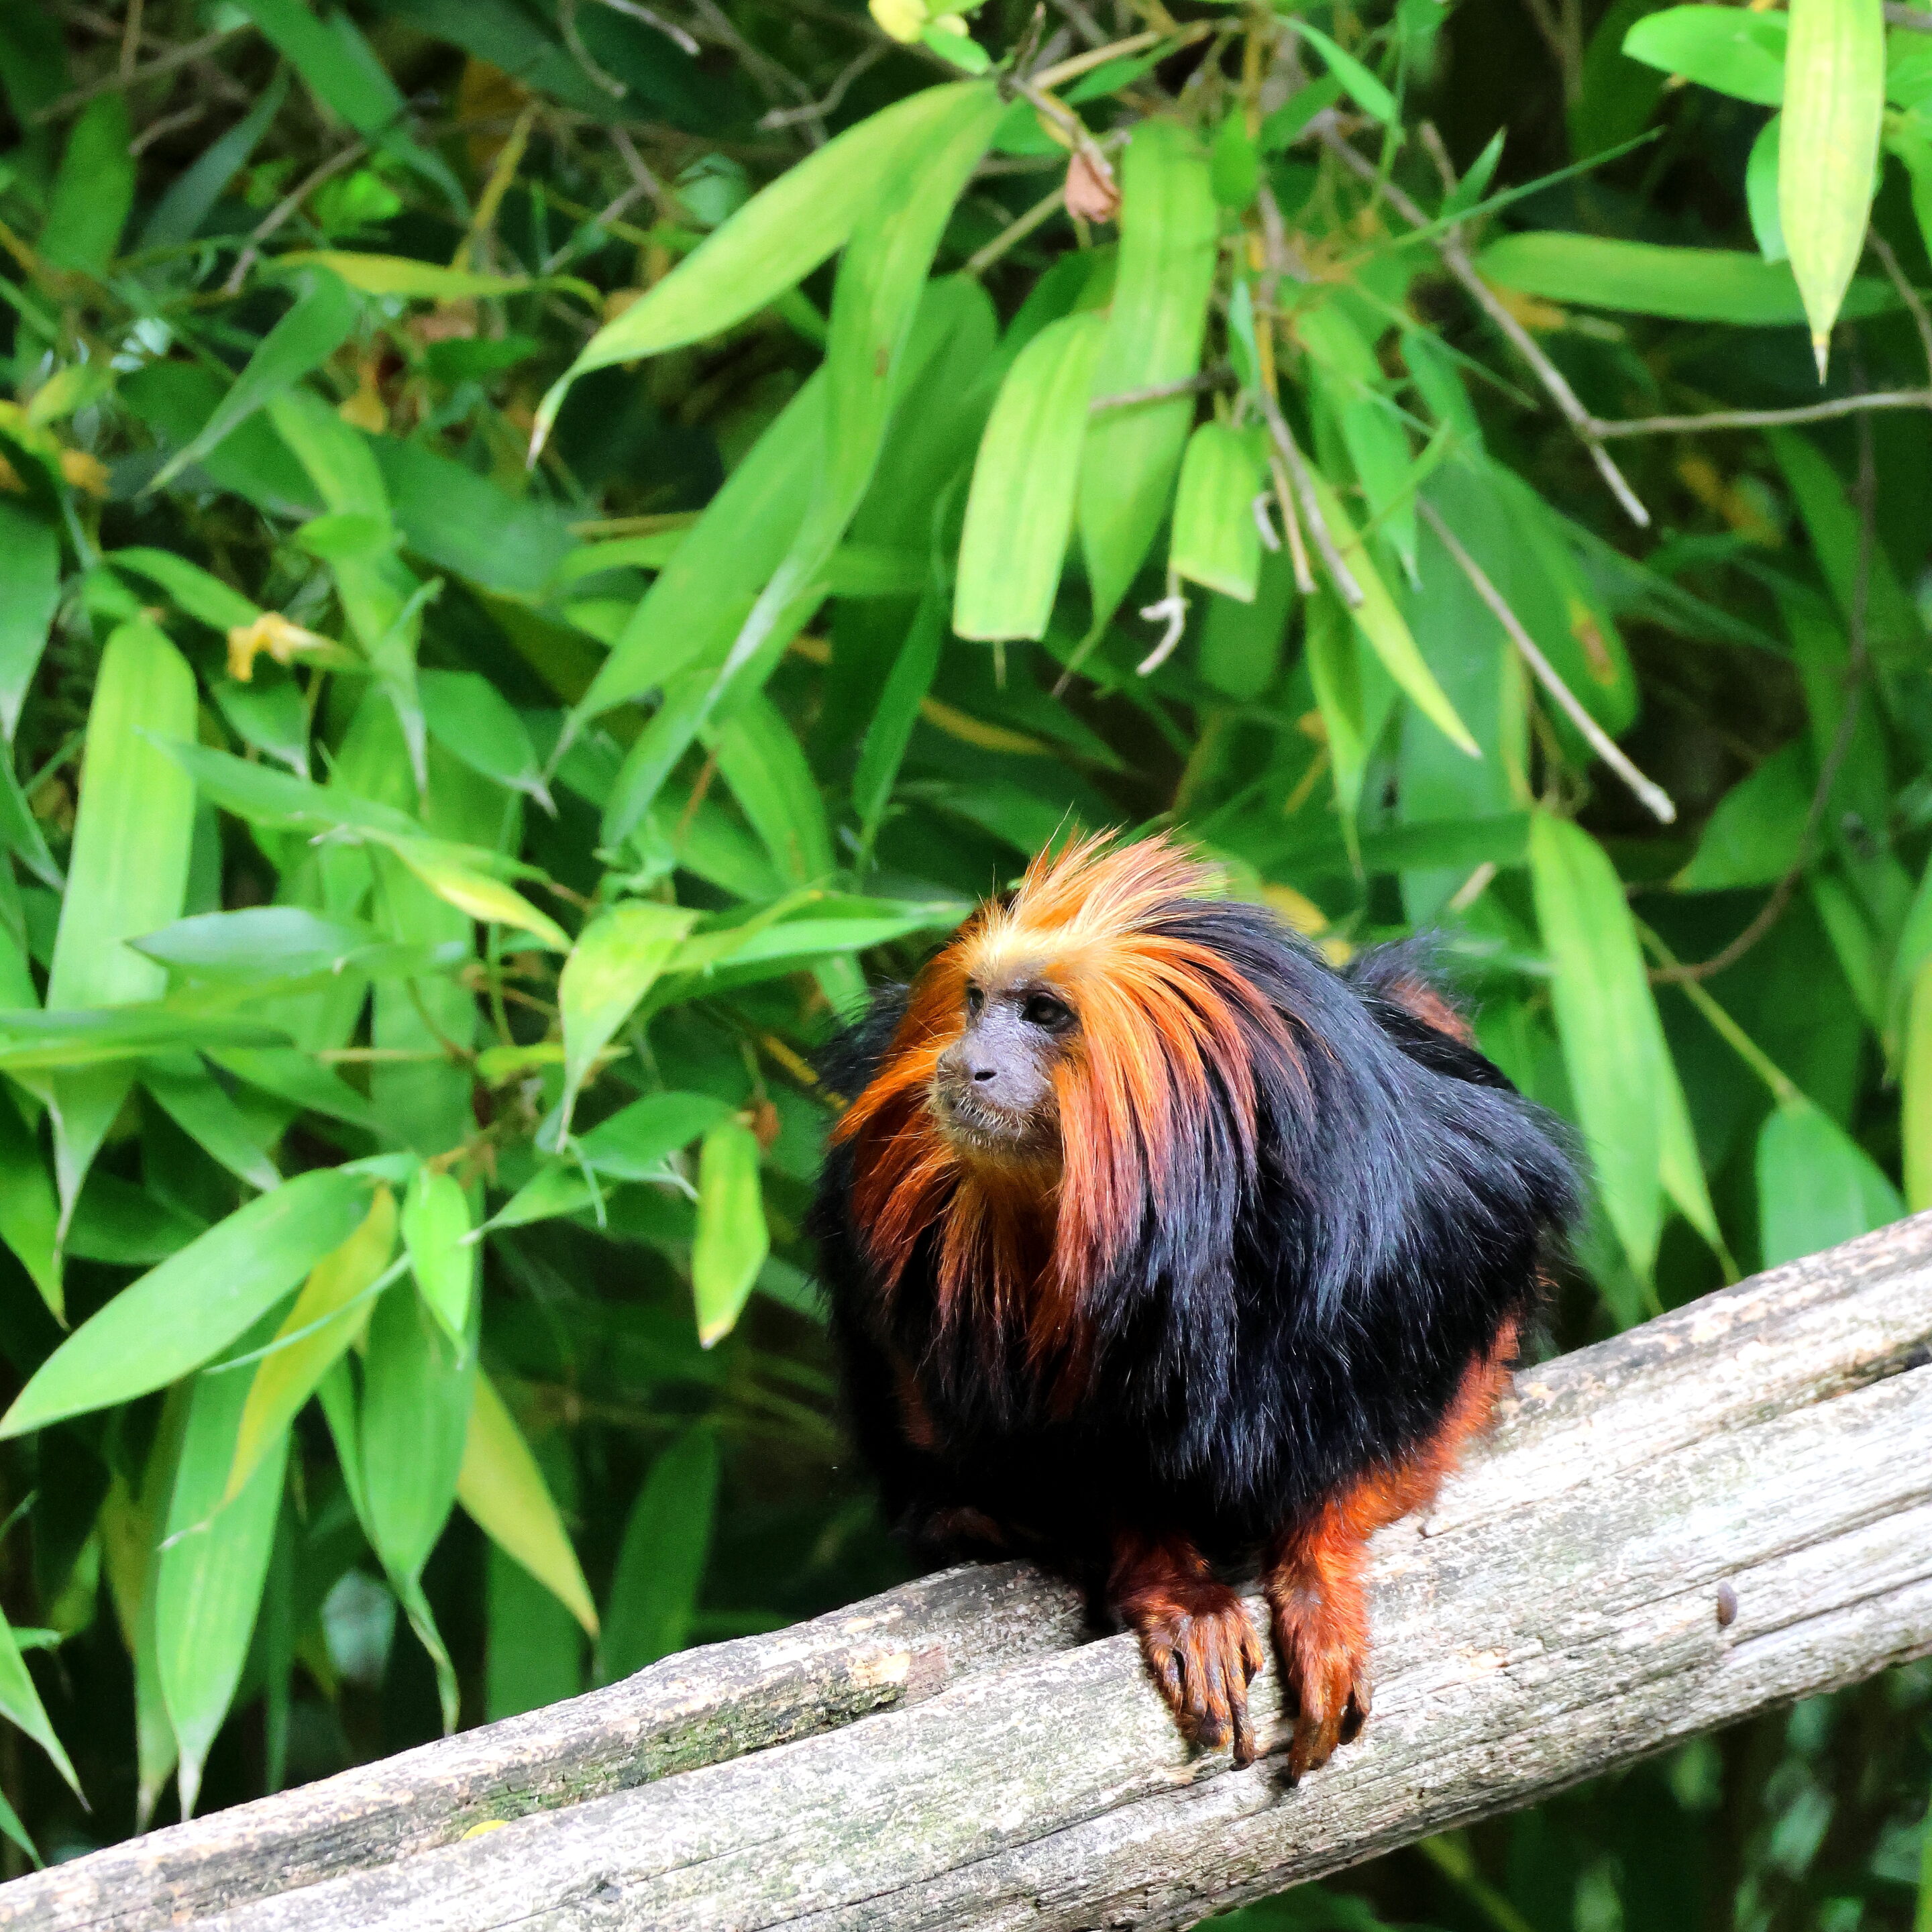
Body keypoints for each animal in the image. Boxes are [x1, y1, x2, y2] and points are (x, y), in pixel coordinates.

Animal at [809, 834, 1577, 1777]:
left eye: (1043, 1014)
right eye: (977, 1005)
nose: (966, 1061)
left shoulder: (1435, 1213)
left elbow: (1396, 1402)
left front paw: (1319, 1569)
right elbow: (1070, 1457)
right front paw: (1178, 1592)